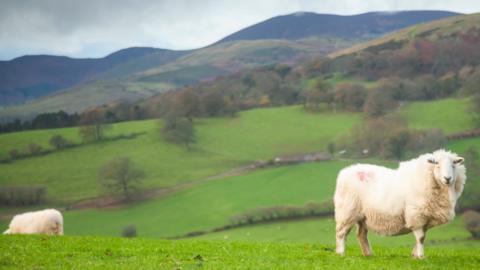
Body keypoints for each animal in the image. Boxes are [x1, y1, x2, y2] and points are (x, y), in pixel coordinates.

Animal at [334, 150, 464, 258]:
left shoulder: (426, 217)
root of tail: (344, 172)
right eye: (437, 165)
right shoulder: (416, 215)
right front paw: (421, 256)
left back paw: (368, 254)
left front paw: (415, 255)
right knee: (341, 233)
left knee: (361, 235)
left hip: (363, 216)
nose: (448, 178)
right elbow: (421, 238)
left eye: (453, 165)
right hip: (347, 210)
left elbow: (423, 237)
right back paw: (341, 253)